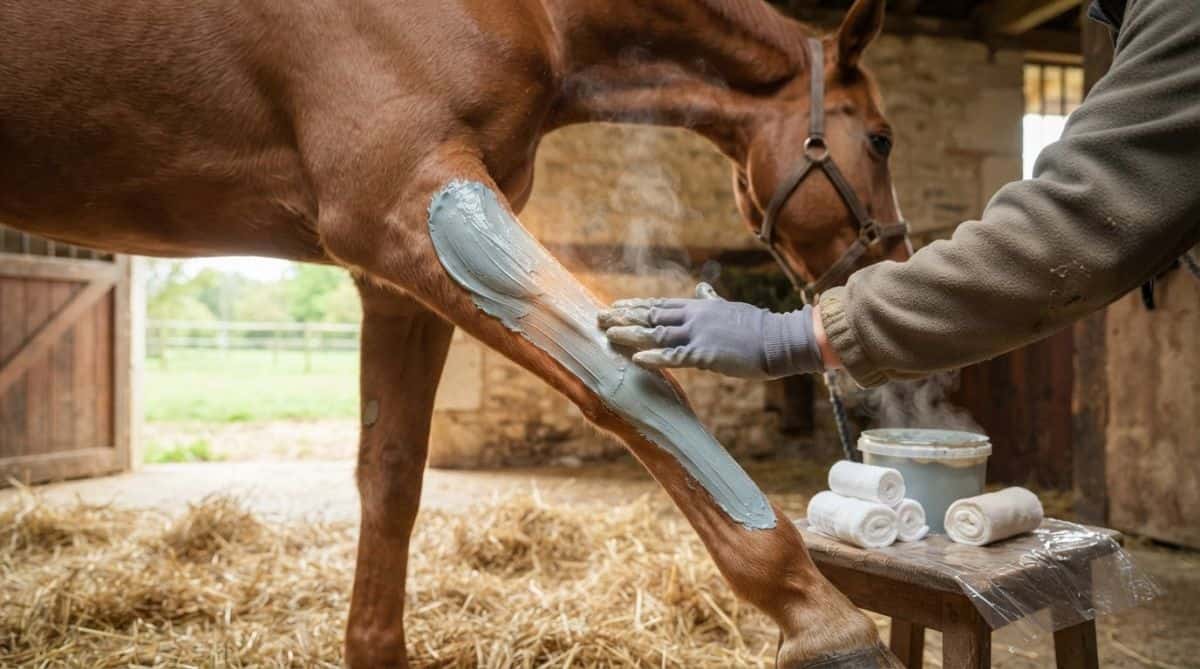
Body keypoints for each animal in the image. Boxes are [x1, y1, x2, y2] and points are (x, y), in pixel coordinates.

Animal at [0, 0, 911, 665]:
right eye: (880, 137)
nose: (895, 257)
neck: (540, 13)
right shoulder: (405, 198)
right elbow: (627, 386)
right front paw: (821, 620)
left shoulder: (393, 277)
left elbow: (393, 474)